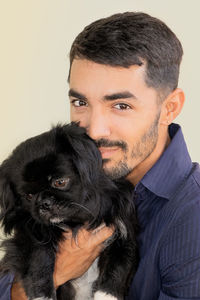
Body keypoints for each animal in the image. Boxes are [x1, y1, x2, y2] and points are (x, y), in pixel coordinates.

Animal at [0, 123, 138, 298]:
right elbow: (39, 260)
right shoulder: (30, 235)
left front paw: (105, 296)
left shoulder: (124, 233)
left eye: (60, 182)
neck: (75, 221)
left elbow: (117, 270)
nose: (44, 203)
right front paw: (43, 296)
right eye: (28, 196)